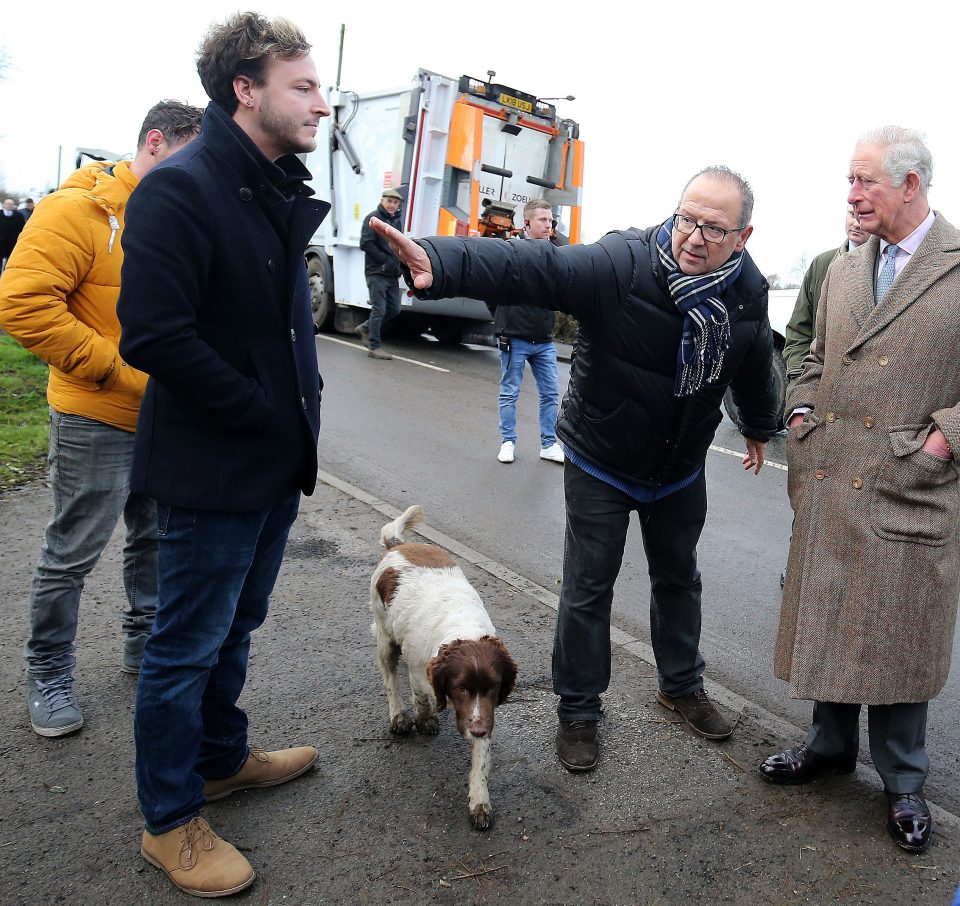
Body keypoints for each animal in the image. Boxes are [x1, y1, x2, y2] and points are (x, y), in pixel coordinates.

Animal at [370, 502, 516, 828]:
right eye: (460, 689)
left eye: (493, 688)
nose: (478, 731)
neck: (463, 630)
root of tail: (399, 545)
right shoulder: (419, 674)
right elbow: (422, 699)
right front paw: (425, 721)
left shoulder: (484, 714)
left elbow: (481, 761)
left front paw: (479, 802)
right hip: (385, 635)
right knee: (390, 679)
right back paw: (398, 717)